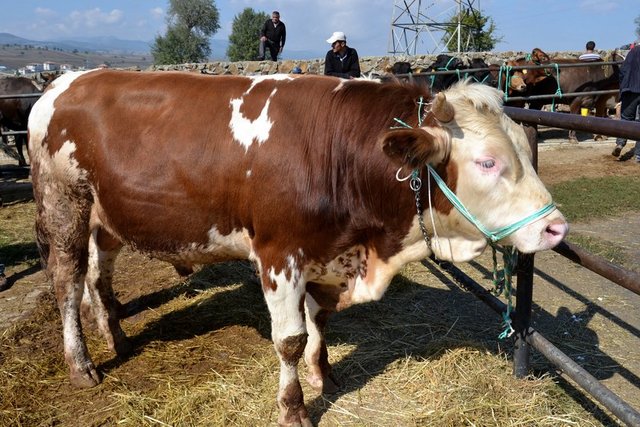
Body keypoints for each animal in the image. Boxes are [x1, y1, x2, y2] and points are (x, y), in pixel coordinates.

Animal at [27, 70, 568, 424]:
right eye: (487, 162)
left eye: (525, 149)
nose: (556, 229)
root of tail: (62, 82)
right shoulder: (278, 255)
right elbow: (289, 340)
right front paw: (293, 409)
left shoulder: (324, 255)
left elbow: (318, 323)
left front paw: (323, 375)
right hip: (64, 204)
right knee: (68, 283)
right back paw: (82, 364)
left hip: (107, 217)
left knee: (100, 276)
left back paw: (116, 335)